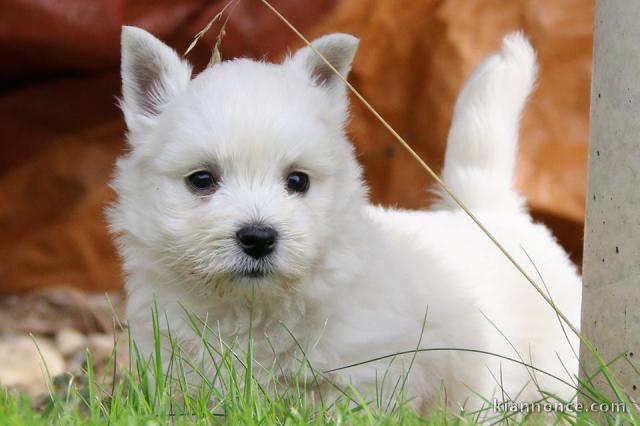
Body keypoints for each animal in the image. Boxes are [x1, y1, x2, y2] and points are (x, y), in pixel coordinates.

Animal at [109, 26, 580, 412]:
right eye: (202, 180)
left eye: (297, 181)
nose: (258, 237)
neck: (252, 308)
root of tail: (486, 206)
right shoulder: (177, 364)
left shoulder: (364, 374)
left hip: (553, 361)